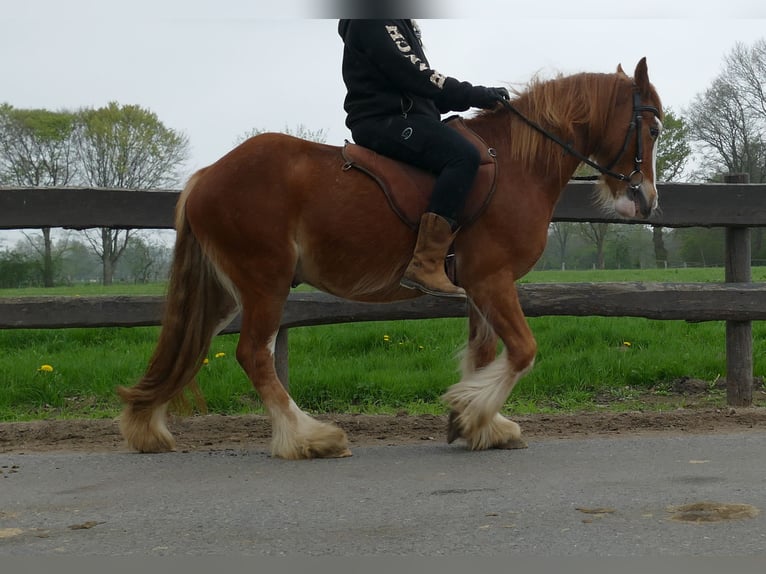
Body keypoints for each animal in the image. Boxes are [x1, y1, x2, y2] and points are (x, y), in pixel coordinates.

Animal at [118, 58, 663, 459]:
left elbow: (485, 352)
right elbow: (523, 351)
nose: (647, 202)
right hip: (263, 282)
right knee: (253, 355)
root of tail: (207, 176)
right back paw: (309, 438)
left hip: (226, 290)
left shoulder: (479, 286)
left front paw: (479, 424)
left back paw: (147, 426)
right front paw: (471, 413)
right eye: (653, 130)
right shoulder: (492, 279)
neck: (515, 165)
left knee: (187, 349)